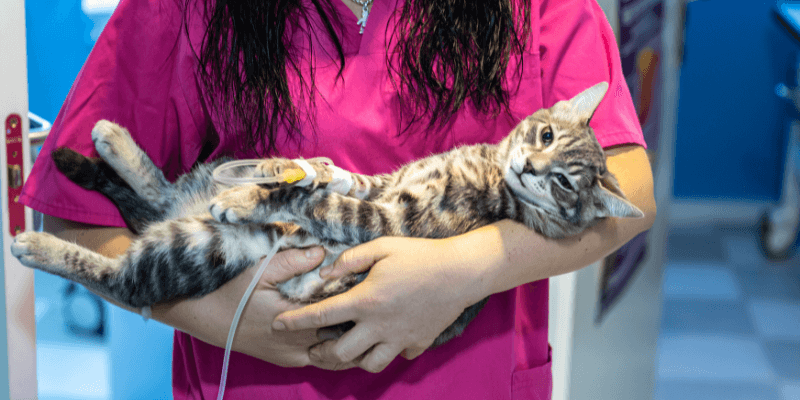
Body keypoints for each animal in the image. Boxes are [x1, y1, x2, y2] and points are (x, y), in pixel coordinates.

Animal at [12, 82, 644, 346]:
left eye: (565, 183)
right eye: (545, 134)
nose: (531, 166)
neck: (488, 170)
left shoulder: (390, 221)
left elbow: (319, 202)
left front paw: (251, 198)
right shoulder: (383, 183)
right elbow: (337, 178)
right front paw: (291, 169)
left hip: (197, 249)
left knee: (122, 279)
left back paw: (34, 245)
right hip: (196, 192)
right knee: (162, 193)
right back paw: (110, 139)